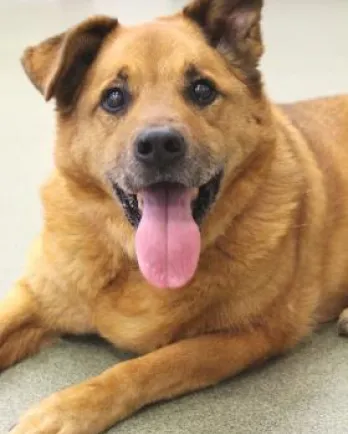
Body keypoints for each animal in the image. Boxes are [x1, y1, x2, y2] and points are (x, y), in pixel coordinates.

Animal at [2, 0, 348, 432]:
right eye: (114, 98)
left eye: (202, 89)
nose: (159, 145)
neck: (134, 264)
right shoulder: (35, 294)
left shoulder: (249, 335)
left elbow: (147, 367)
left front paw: (67, 409)